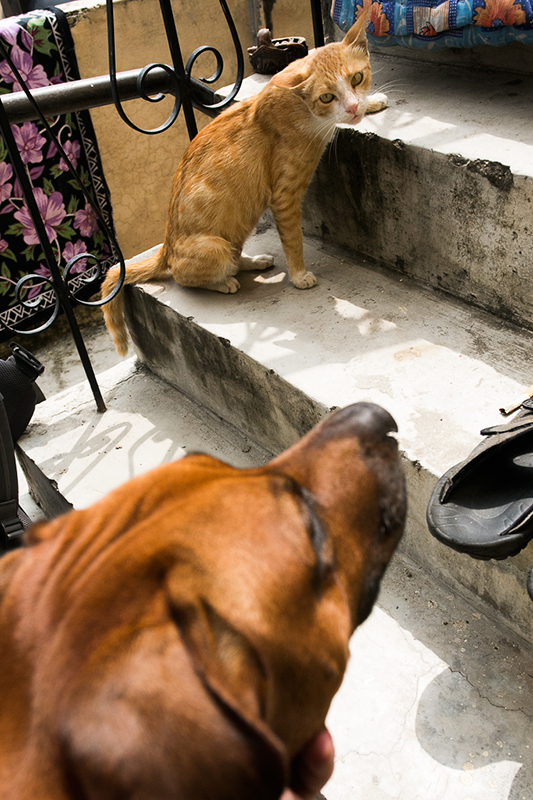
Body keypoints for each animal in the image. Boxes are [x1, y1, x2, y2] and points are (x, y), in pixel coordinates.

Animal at [102, 7, 387, 356]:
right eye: (327, 96)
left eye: (357, 78)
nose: (353, 106)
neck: (298, 104)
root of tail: (166, 249)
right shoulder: (284, 196)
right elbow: (293, 240)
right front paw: (299, 275)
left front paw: (372, 102)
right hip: (215, 247)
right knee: (188, 277)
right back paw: (225, 282)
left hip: (236, 233)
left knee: (236, 257)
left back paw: (255, 261)